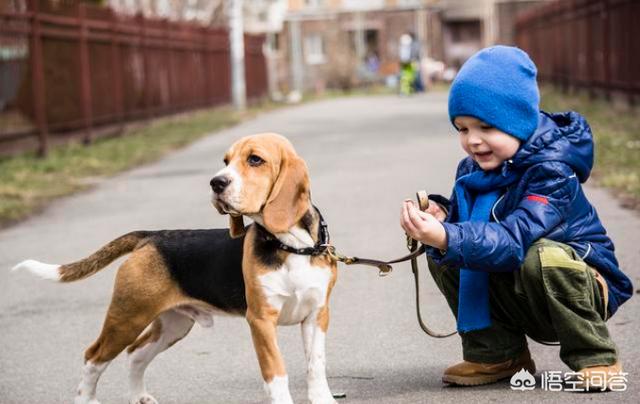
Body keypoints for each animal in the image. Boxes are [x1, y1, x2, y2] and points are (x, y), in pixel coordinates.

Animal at [11, 133, 340, 404]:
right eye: (225, 161)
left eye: (255, 159)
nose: (216, 183)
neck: (292, 246)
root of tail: (150, 236)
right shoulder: (260, 320)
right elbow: (276, 374)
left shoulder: (316, 315)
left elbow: (316, 365)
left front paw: (323, 399)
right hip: (127, 316)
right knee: (93, 357)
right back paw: (88, 399)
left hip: (173, 324)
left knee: (136, 354)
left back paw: (139, 397)